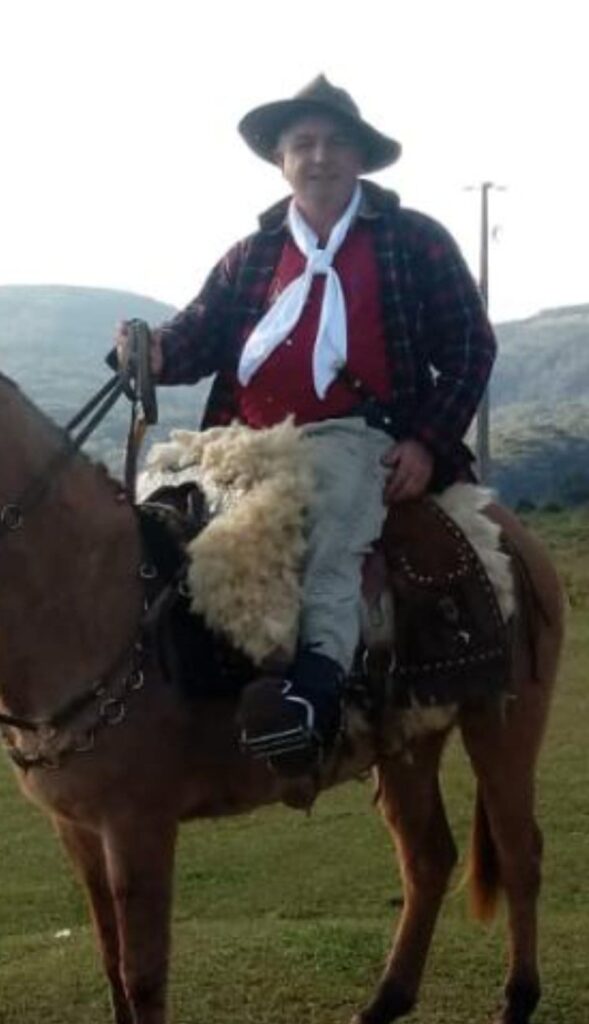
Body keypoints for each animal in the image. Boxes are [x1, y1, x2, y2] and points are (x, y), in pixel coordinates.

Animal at [0, 369, 564, 1024]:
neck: (101, 603)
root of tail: (501, 529)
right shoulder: (78, 829)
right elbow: (110, 960)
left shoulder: (138, 825)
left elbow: (142, 974)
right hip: (408, 741)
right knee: (428, 860)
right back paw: (385, 1000)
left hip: (504, 725)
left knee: (521, 853)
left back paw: (517, 999)